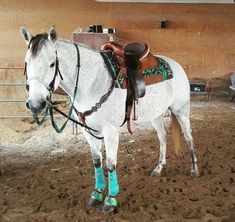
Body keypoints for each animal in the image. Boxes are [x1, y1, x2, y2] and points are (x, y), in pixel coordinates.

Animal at [20, 25, 200, 213]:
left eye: (52, 63)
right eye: (26, 63)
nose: (36, 104)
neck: (91, 83)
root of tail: (176, 65)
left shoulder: (110, 130)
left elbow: (111, 163)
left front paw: (110, 200)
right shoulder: (88, 130)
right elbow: (97, 162)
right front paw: (97, 194)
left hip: (181, 110)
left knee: (189, 137)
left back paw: (194, 170)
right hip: (156, 115)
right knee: (163, 137)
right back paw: (158, 168)